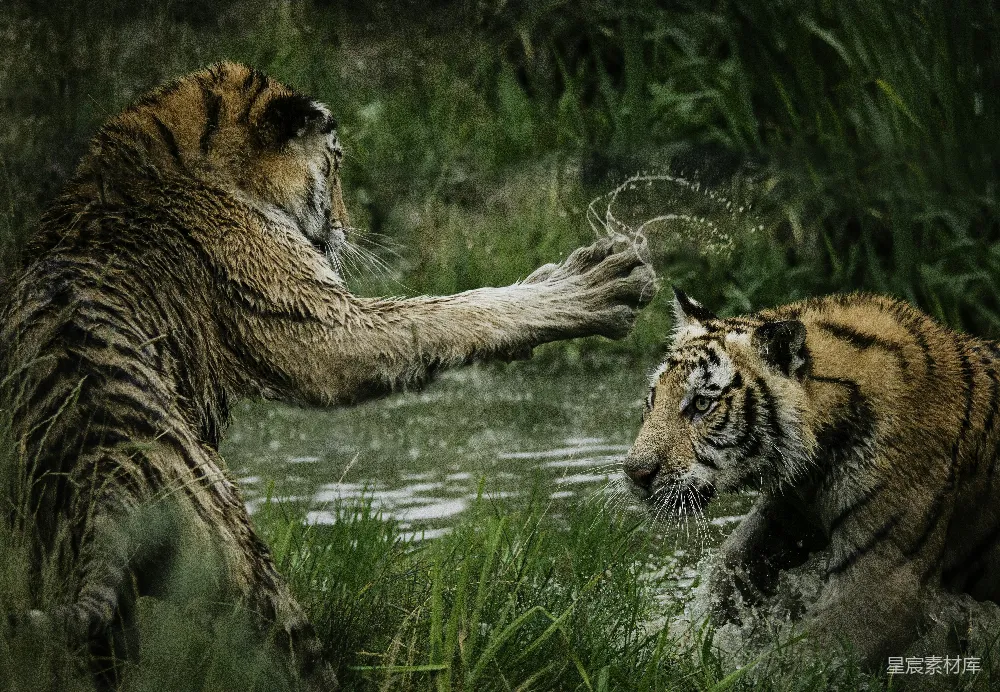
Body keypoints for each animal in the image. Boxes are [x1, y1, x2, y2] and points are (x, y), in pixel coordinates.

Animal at [0, 61, 656, 689]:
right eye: (335, 165)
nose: (345, 227)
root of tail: (104, 476)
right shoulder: (322, 326)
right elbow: (450, 312)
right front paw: (596, 285)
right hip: (249, 579)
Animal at [622, 288, 1000, 670]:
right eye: (652, 399)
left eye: (701, 404)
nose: (634, 472)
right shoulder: (786, 512)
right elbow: (727, 572)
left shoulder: (883, 583)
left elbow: (794, 661)